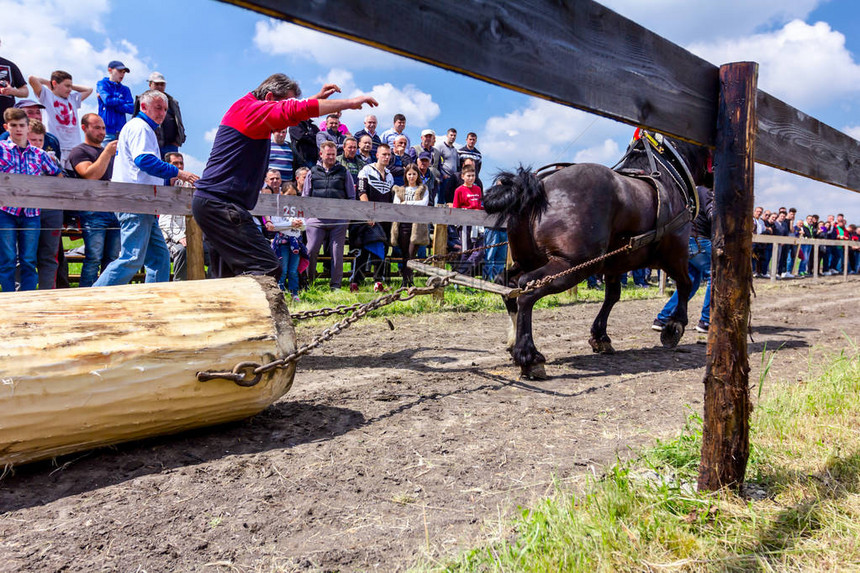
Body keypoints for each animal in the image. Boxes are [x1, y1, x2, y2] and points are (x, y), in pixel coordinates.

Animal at [484, 132, 712, 378]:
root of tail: (540, 185)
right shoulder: (676, 254)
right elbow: (685, 284)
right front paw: (674, 326)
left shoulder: (613, 263)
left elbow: (612, 295)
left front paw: (600, 336)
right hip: (573, 265)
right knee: (527, 290)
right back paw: (529, 356)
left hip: (530, 259)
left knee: (507, 284)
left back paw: (513, 342)